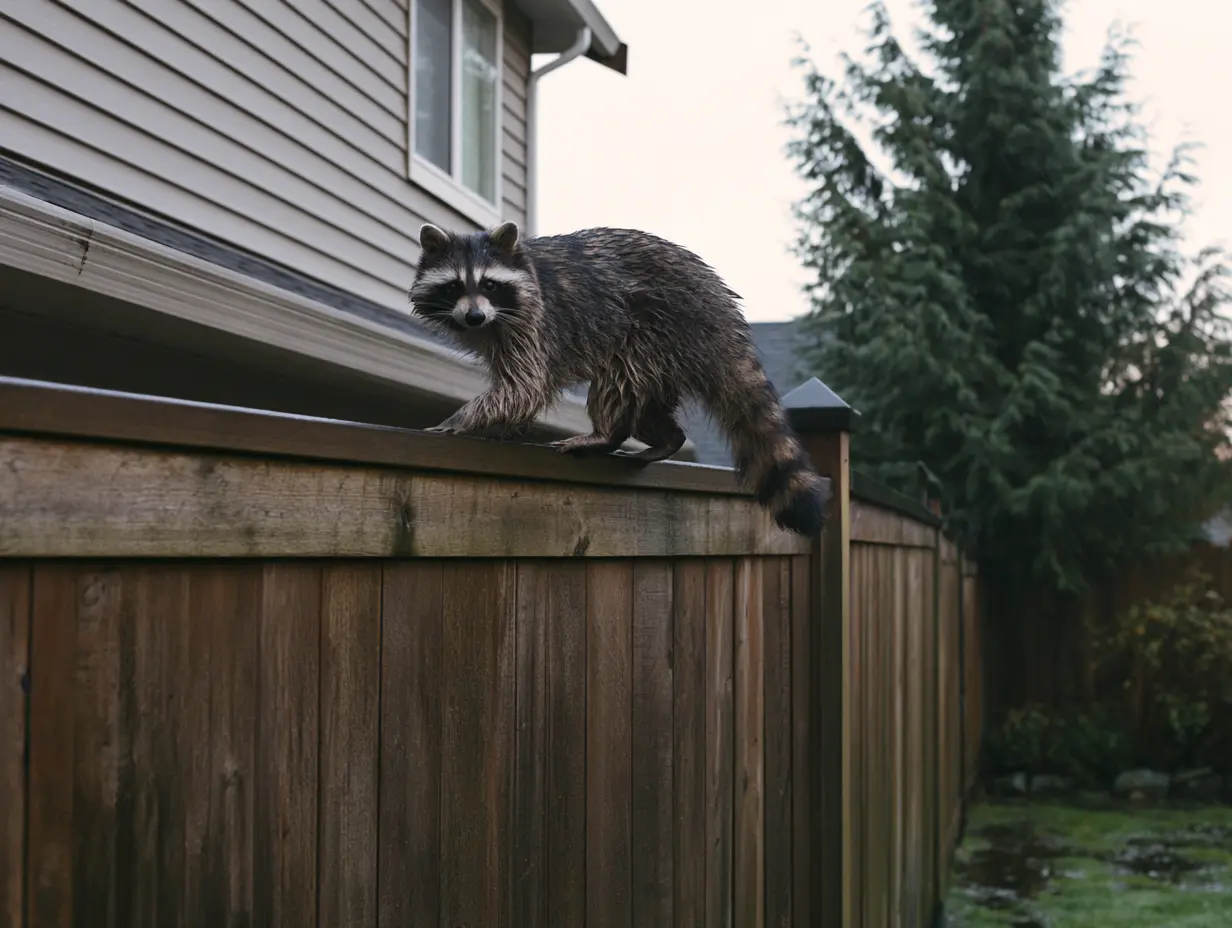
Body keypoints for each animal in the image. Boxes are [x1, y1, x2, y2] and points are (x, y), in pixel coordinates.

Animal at [407, 221, 830, 536]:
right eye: (454, 286)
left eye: (490, 284)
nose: (474, 316)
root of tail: (722, 308)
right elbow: (517, 388)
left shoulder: (537, 323)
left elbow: (525, 386)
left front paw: (460, 419)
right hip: (667, 353)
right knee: (645, 405)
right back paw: (667, 438)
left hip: (658, 326)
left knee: (617, 381)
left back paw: (606, 433)